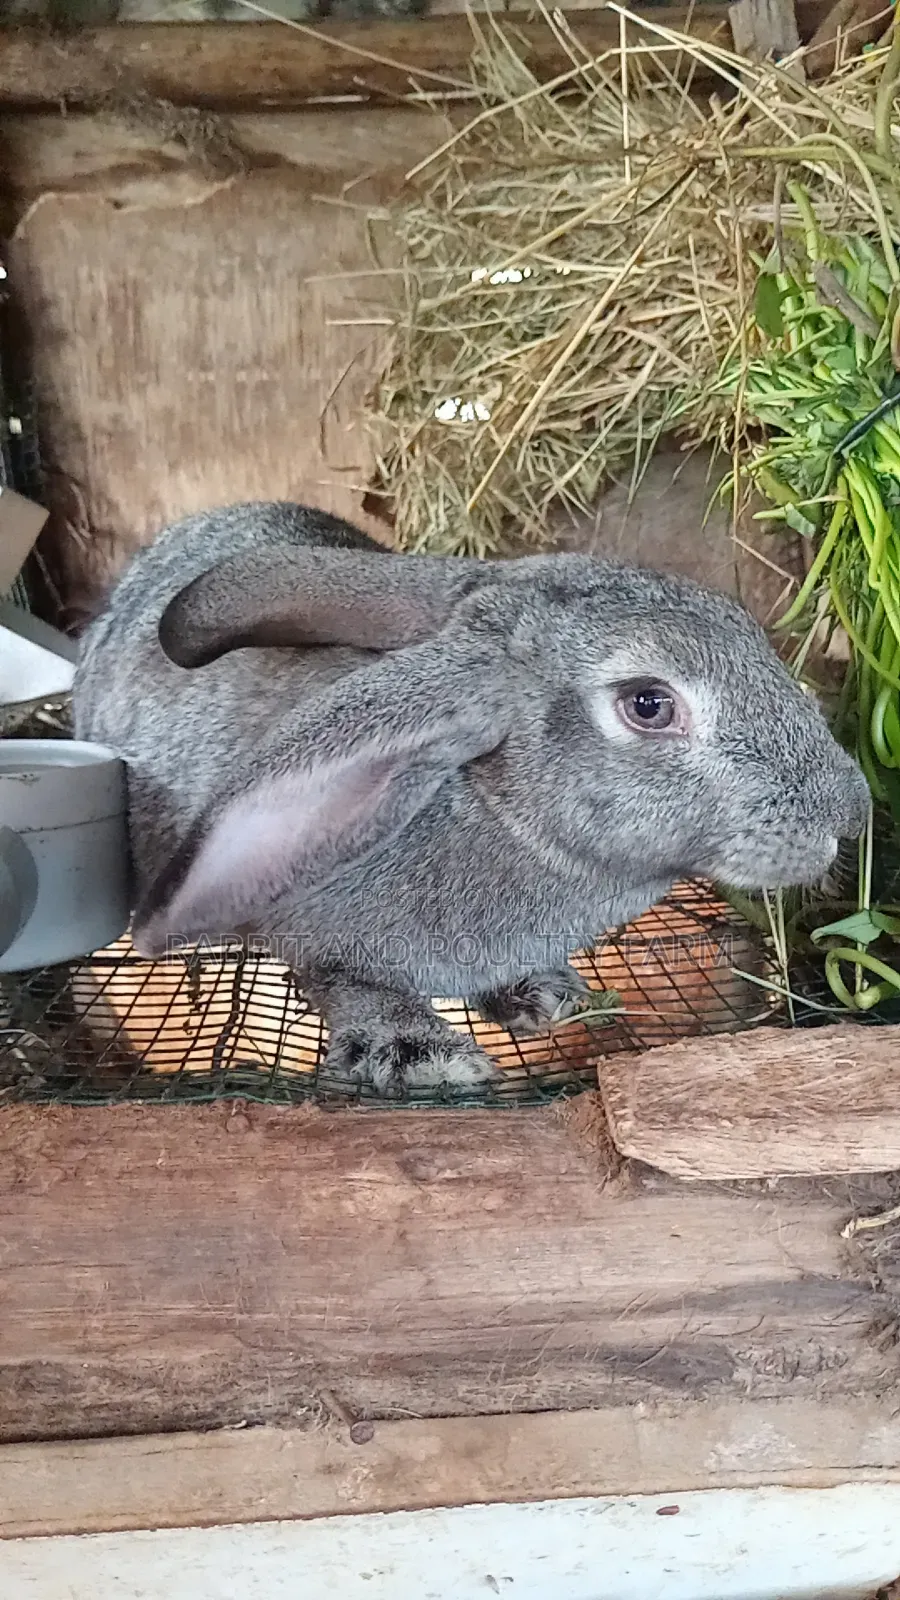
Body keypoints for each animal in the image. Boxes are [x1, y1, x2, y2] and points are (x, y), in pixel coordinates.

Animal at [73, 500, 871, 1097]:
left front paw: (545, 995)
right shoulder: (317, 937)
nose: (851, 810)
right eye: (648, 704)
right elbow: (347, 983)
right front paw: (420, 1054)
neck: (498, 813)